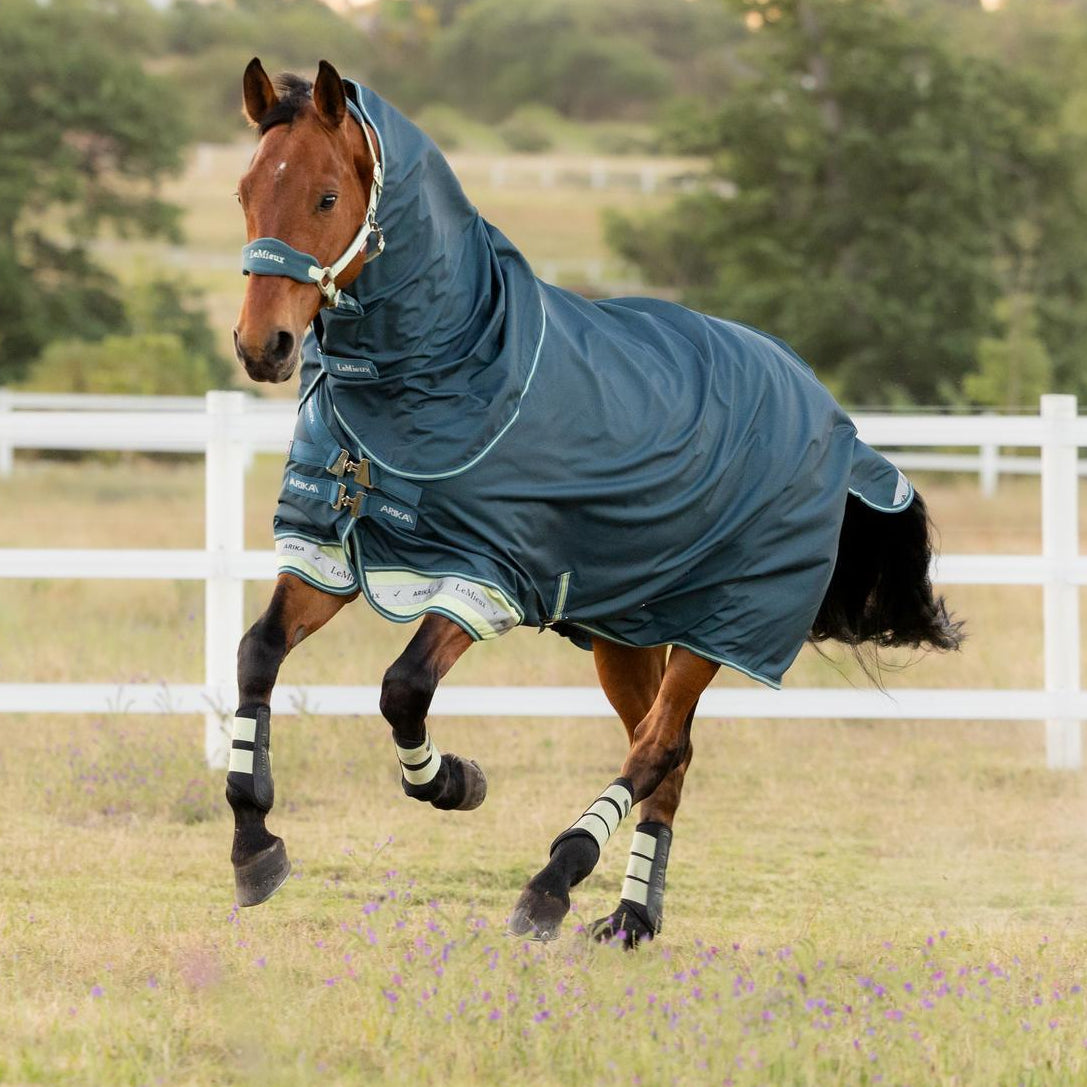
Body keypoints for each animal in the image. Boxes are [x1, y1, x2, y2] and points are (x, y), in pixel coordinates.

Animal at [229, 58, 962, 946]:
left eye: (327, 197)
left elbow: (402, 687)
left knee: (654, 750)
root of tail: (826, 409)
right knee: (668, 756)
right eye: (244, 192)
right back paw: (630, 915)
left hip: (719, 626)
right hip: (628, 630)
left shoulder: (485, 576)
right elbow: (258, 653)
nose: (262, 346)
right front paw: (254, 841)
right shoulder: (330, 553)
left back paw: (554, 880)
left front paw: (454, 780)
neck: (455, 368)